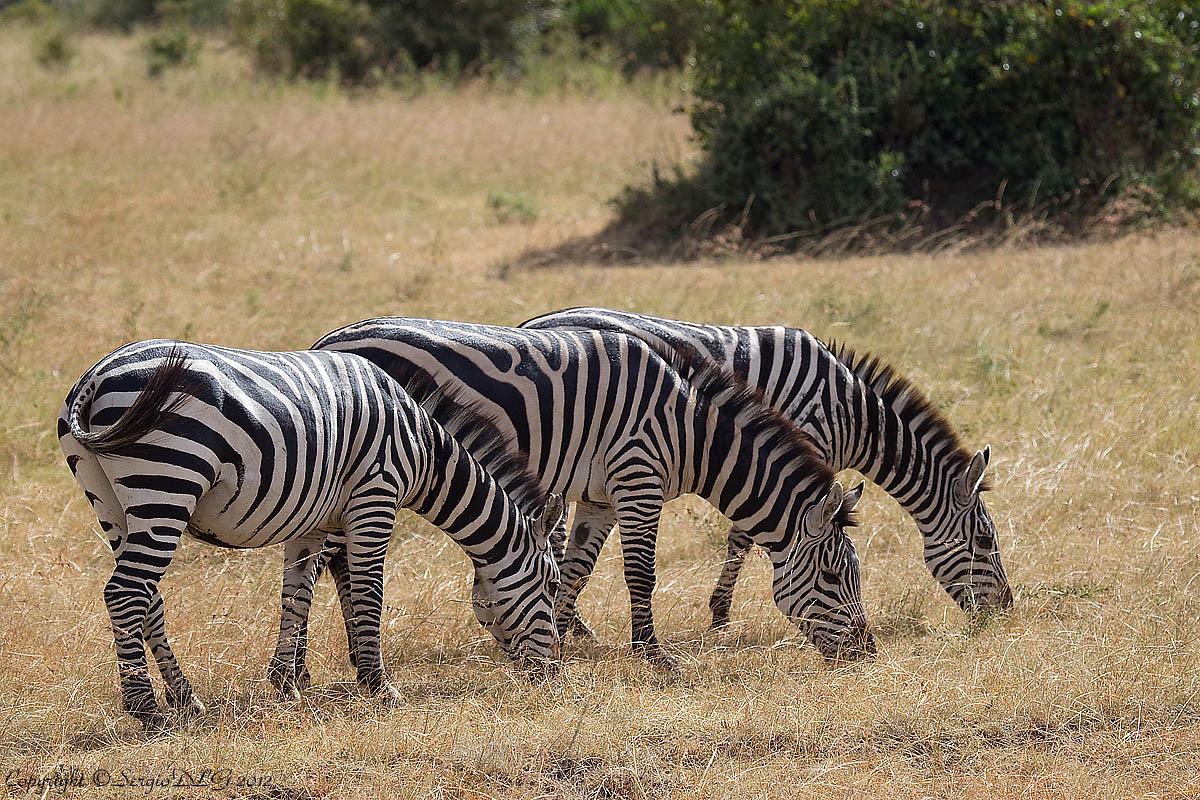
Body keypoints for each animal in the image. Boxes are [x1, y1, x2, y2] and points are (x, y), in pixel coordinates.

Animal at [58, 340, 562, 727]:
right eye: (552, 586)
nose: (553, 672)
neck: (423, 448)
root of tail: (94, 379)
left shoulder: (313, 521)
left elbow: (297, 595)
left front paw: (287, 684)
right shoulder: (375, 495)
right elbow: (368, 592)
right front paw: (380, 686)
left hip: (111, 502)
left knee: (148, 597)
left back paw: (186, 697)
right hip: (167, 481)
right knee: (125, 592)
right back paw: (145, 709)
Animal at [295, 318, 874, 669]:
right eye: (832, 576)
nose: (867, 651)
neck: (693, 430)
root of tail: (326, 342)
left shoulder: (599, 496)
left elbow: (575, 568)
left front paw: (559, 636)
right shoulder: (638, 475)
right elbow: (641, 573)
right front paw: (651, 653)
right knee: (335, 562)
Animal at [521, 307, 1012, 633]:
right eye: (986, 541)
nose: (1005, 611)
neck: (851, 413)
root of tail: (532, 323)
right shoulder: (794, 448)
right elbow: (744, 537)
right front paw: (720, 614)